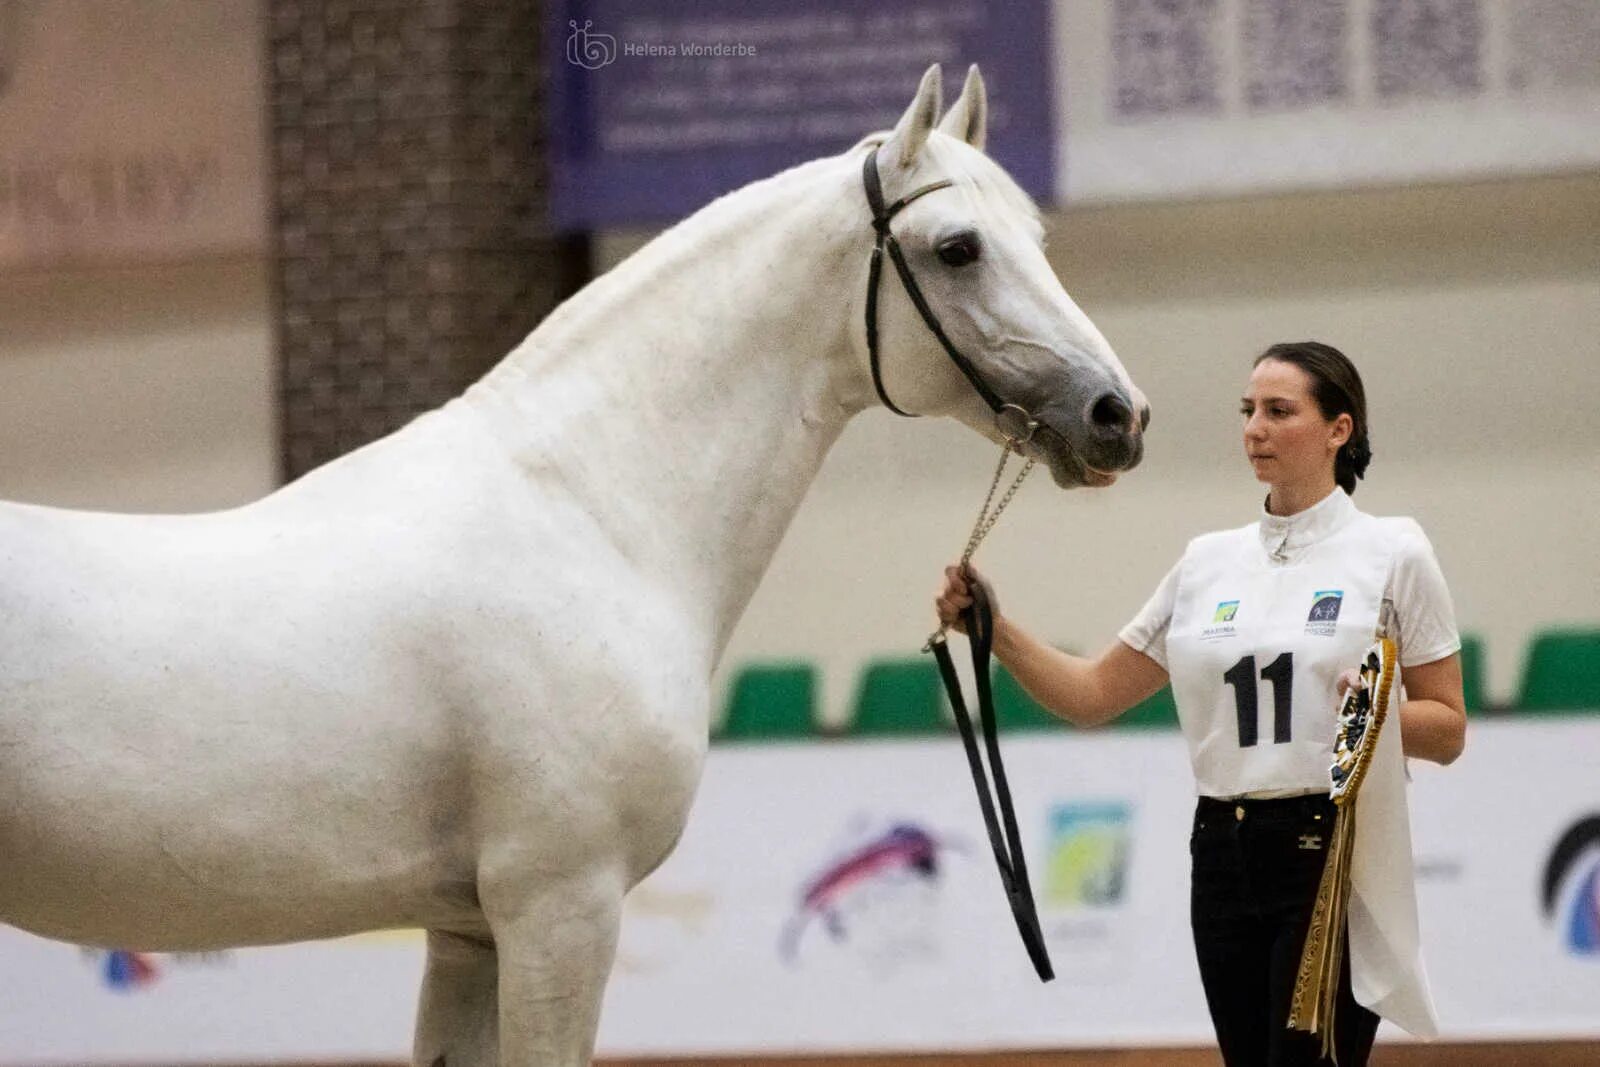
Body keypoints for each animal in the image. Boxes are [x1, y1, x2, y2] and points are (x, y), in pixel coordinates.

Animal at [0, 64, 1152, 1062]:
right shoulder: (560, 905)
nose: (1118, 415)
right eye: (958, 248)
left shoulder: (470, 931)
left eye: (1035, 237)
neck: (588, 514)